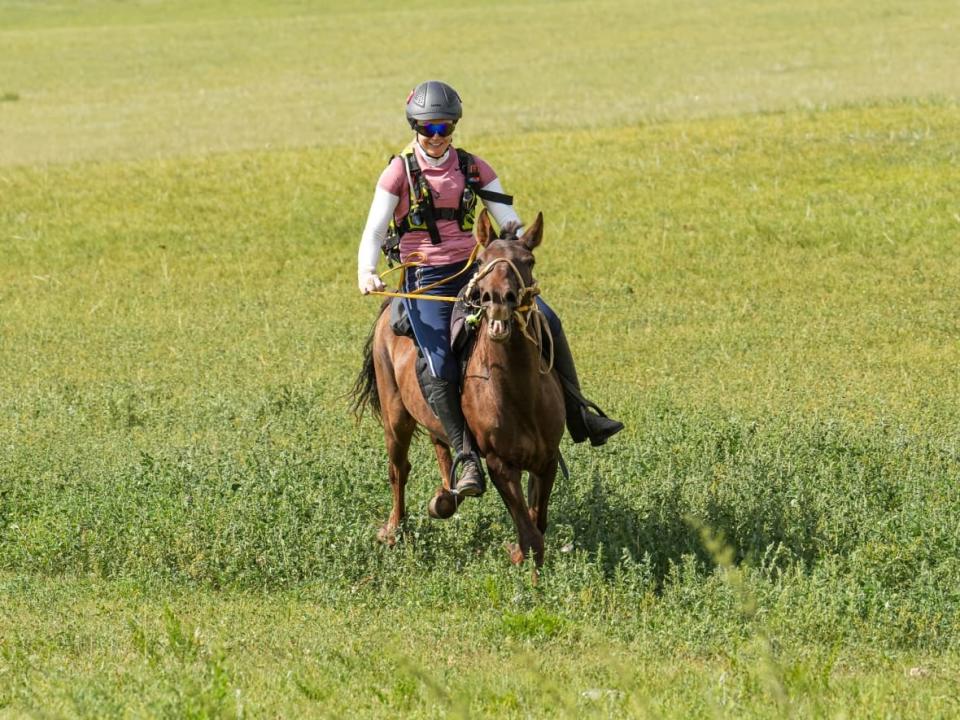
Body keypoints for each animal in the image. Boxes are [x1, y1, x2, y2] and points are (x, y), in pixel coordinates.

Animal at [350, 210, 564, 568]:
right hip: (396, 418)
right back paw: (395, 531)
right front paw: (521, 559)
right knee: (398, 470)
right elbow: (531, 536)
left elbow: (538, 524)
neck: (520, 397)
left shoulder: (547, 460)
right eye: (482, 261)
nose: (497, 299)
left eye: (528, 261)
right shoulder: (500, 464)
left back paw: (446, 498)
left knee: (441, 446)